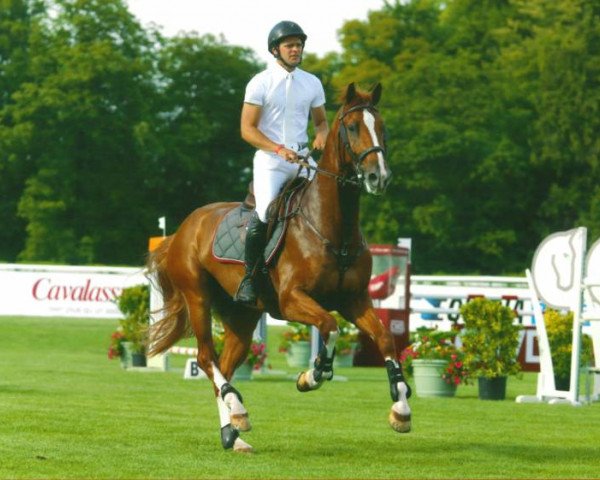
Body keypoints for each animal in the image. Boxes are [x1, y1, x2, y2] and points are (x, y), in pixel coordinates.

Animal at [148, 83, 412, 454]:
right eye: (352, 127)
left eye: (382, 127)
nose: (379, 177)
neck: (333, 229)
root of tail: (184, 227)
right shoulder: (291, 301)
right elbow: (330, 326)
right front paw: (312, 375)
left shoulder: (355, 300)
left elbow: (386, 338)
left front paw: (401, 409)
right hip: (197, 298)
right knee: (205, 358)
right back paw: (238, 411)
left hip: (242, 317)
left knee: (223, 366)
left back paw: (233, 432)